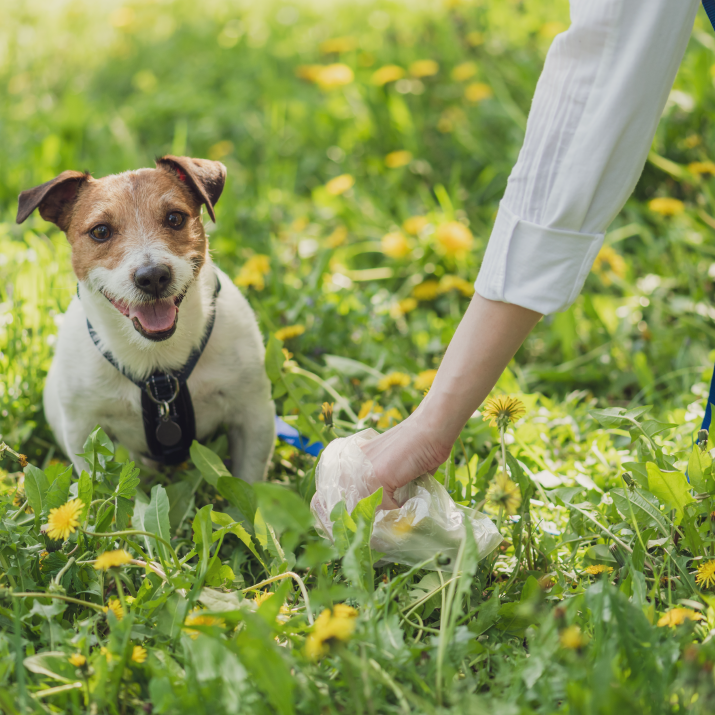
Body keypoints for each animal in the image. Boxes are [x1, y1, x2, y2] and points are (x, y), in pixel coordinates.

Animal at [14, 155, 276, 482]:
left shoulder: (254, 416)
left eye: (175, 218)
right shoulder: (82, 430)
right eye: (100, 231)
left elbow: (248, 482)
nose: (152, 277)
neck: (156, 362)